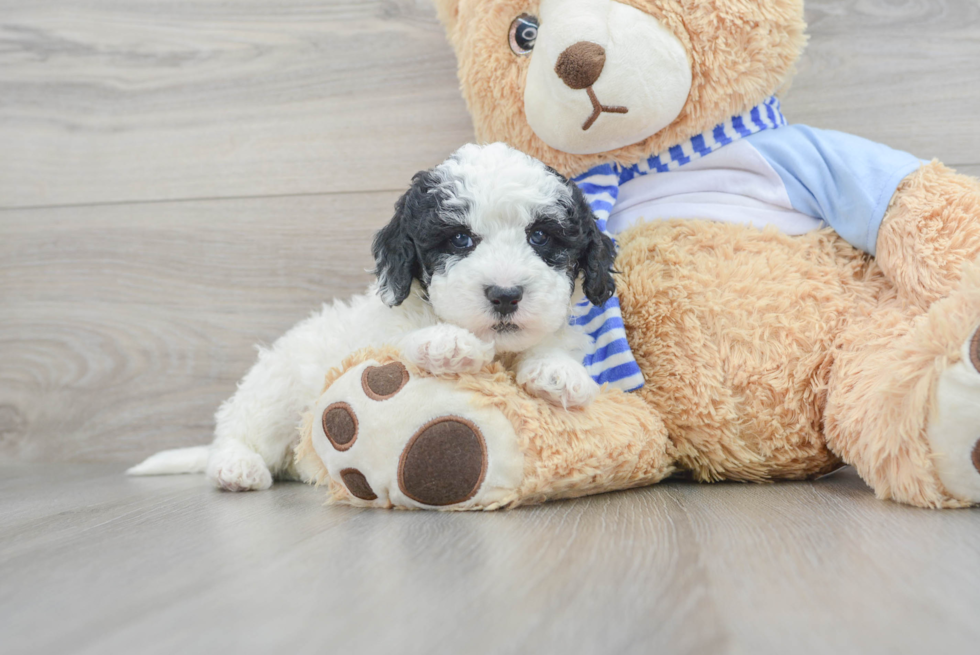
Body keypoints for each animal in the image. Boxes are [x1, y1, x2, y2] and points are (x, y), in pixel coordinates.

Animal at [126, 144, 616, 492]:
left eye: (541, 236)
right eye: (459, 239)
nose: (505, 294)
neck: (498, 347)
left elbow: (554, 341)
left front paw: (558, 373)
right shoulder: (380, 331)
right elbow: (404, 337)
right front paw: (448, 342)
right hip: (273, 393)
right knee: (239, 432)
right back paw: (237, 467)